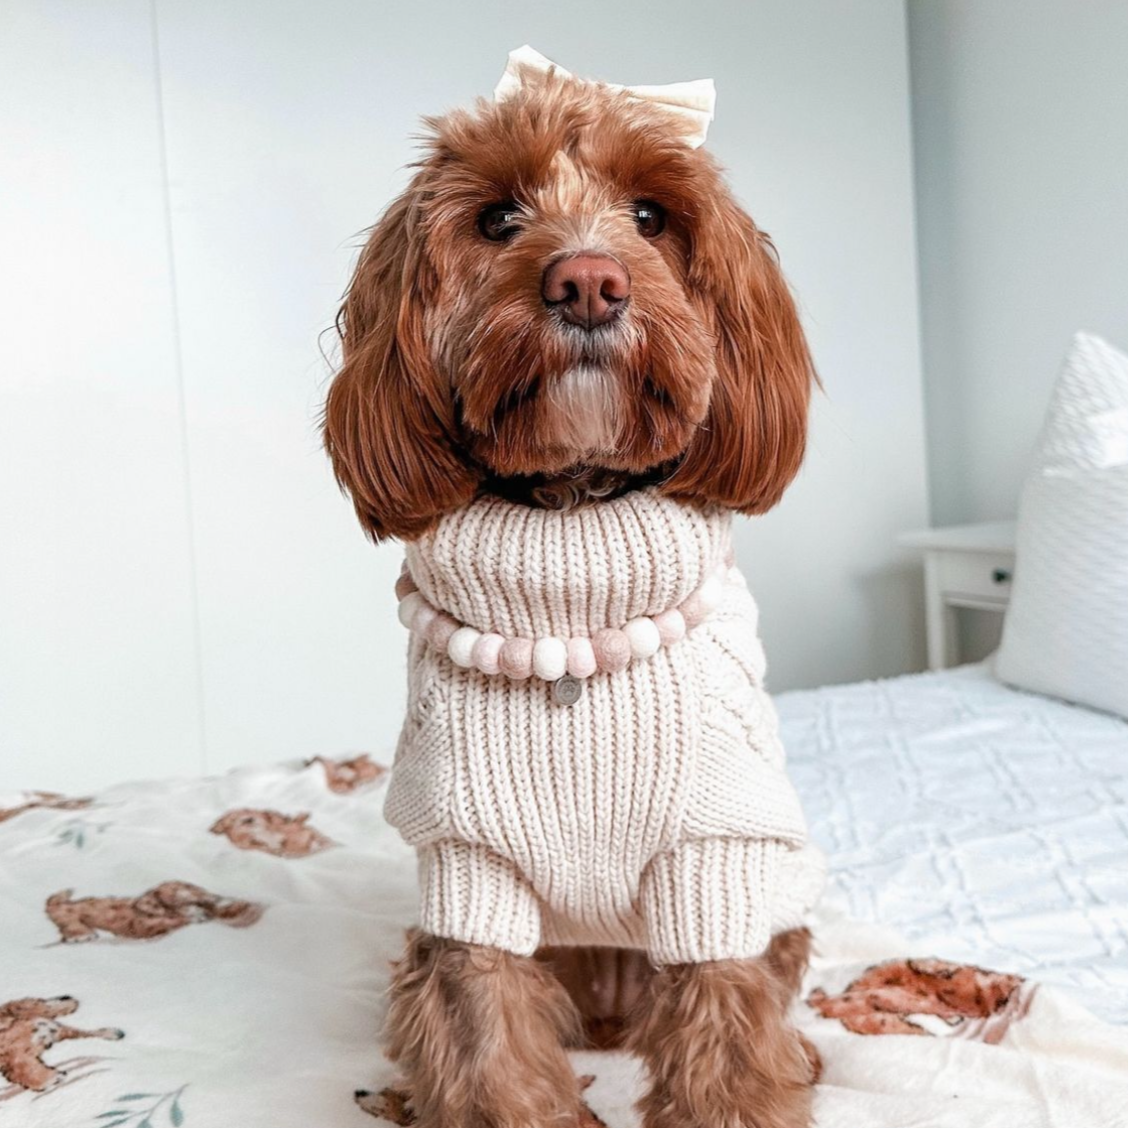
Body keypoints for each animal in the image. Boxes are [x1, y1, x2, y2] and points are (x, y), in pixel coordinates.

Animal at [324, 48, 821, 1128]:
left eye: (650, 215)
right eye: (497, 218)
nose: (587, 283)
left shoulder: (715, 861)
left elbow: (729, 1046)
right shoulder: (467, 875)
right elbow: (486, 1043)